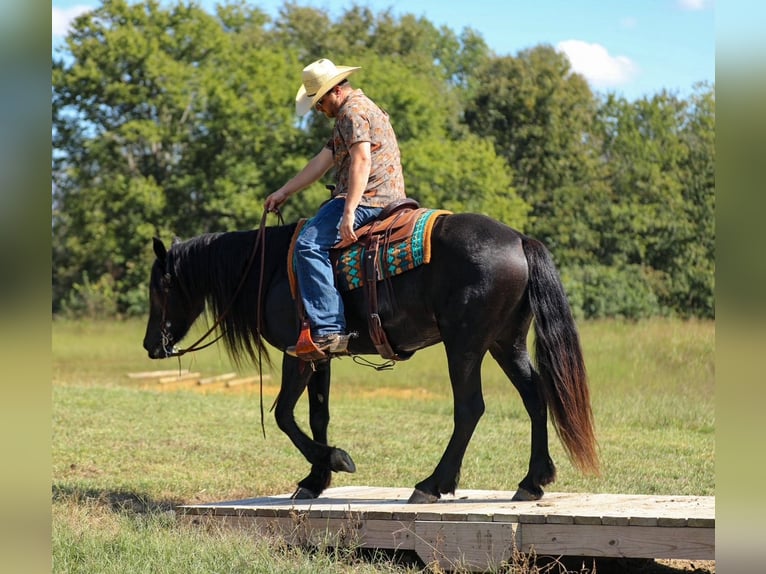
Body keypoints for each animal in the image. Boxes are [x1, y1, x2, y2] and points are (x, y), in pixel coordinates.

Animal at [142, 212, 599, 503]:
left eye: (159, 288)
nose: (150, 346)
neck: (268, 269)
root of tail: (519, 240)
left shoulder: (297, 355)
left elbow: (284, 414)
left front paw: (335, 460)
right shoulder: (319, 356)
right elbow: (317, 416)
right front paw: (315, 480)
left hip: (465, 345)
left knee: (470, 408)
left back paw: (433, 484)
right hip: (505, 342)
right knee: (535, 397)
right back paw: (533, 480)